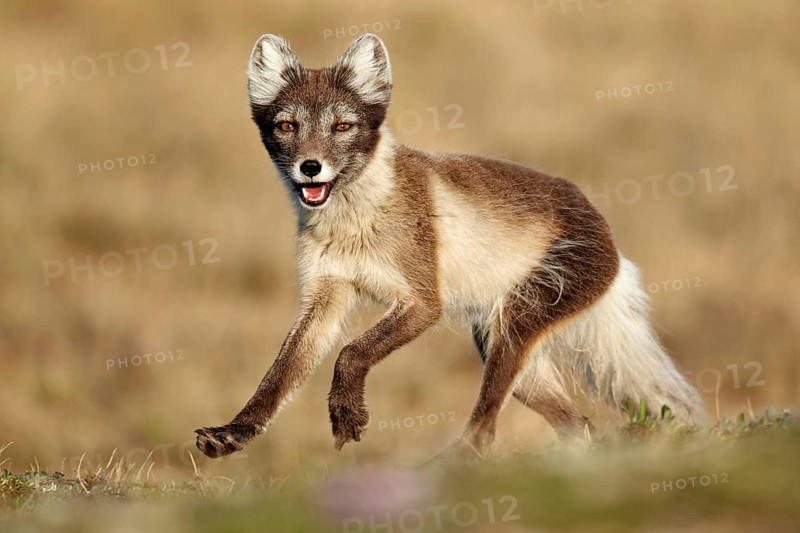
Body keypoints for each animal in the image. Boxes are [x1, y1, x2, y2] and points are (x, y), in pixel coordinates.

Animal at [195, 33, 704, 459]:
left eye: (342, 126)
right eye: (286, 126)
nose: (310, 168)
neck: (354, 222)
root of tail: (609, 235)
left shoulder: (423, 302)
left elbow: (351, 354)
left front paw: (347, 415)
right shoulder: (326, 295)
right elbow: (278, 376)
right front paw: (234, 433)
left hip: (515, 327)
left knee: (487, 427)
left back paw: (447, 465)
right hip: (504, 349)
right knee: (577, 425)